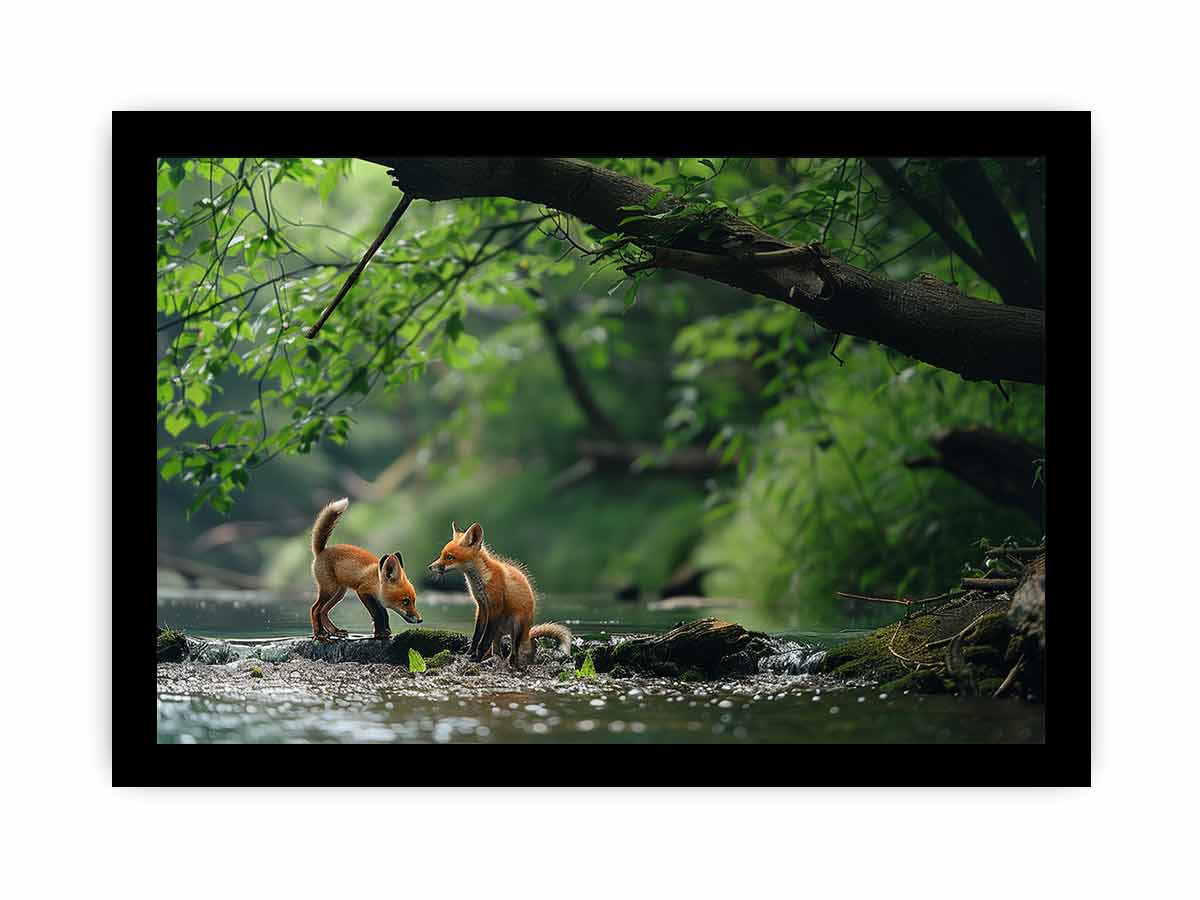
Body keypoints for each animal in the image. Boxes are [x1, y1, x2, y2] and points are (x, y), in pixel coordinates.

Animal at [309, 497, 422, 641]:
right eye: (405, 601)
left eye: (414, 601)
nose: (420, 620)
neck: (376, 581)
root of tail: (322, 551)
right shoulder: (363, 592)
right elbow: (378, 614)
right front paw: (381, 634)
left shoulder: (377, 599)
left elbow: (384, 614)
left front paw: (384, 632)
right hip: (329, 590)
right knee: (315, 609)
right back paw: (320, 634)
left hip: (339, 593)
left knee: (323, 611)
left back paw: (334, 631)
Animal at [427, 521, 572, 667]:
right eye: (441, 555)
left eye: (450, 557)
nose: (430, 567)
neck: (481, 580)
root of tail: (528, 631)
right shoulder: (481, 607)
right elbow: (476, 637)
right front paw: (469, 654)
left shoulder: (495, 607)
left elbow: (484, 641)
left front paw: (476, 658)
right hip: (498, 632)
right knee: (498, 651)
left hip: (516, 625)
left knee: (514, 651)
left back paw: (510, 663)